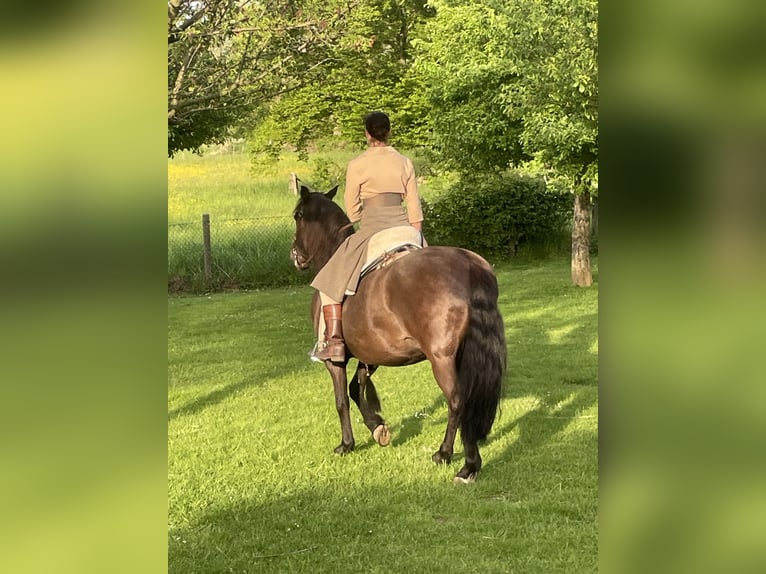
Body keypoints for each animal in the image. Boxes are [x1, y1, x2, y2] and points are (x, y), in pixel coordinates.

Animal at [290, 185, 507, 483]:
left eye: (297, 215)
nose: (295, 256)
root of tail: (468, 266)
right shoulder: (370, 355)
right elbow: (357, 389)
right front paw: (377, 428)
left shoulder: (335, 361)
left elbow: (341, 399)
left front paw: (346, 444)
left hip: (441, 359)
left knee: (457, 400)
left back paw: (457, 460)